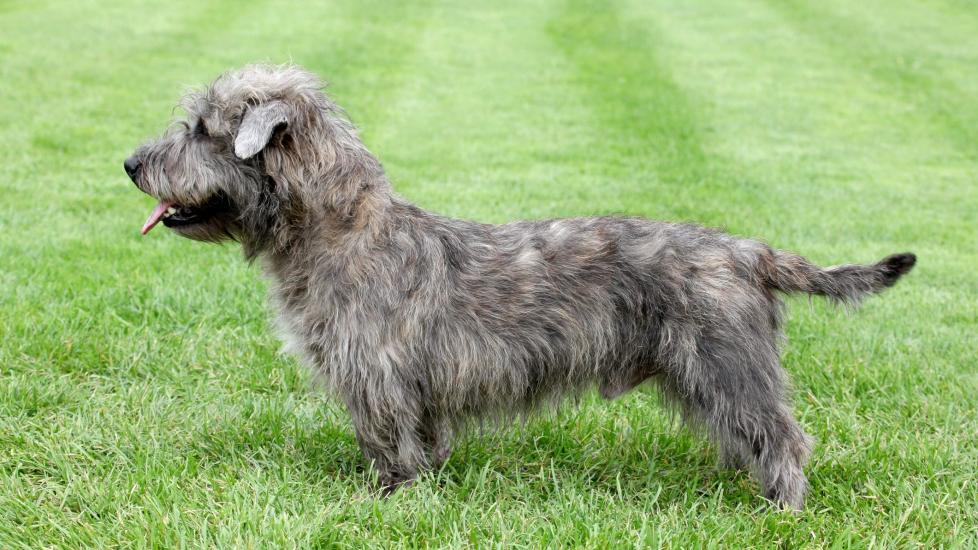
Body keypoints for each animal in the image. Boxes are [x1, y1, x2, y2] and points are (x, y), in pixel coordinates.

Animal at [126, 66, 912, 512]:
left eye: (202, 130)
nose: (131, 163)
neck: (338, 229)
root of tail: (749, 251)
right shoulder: (409, 386)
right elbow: (420, 440)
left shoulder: (377, 376)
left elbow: (389, 442)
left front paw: (389, 503)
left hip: (726, 366)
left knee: (784, 436)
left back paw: (783, 510)